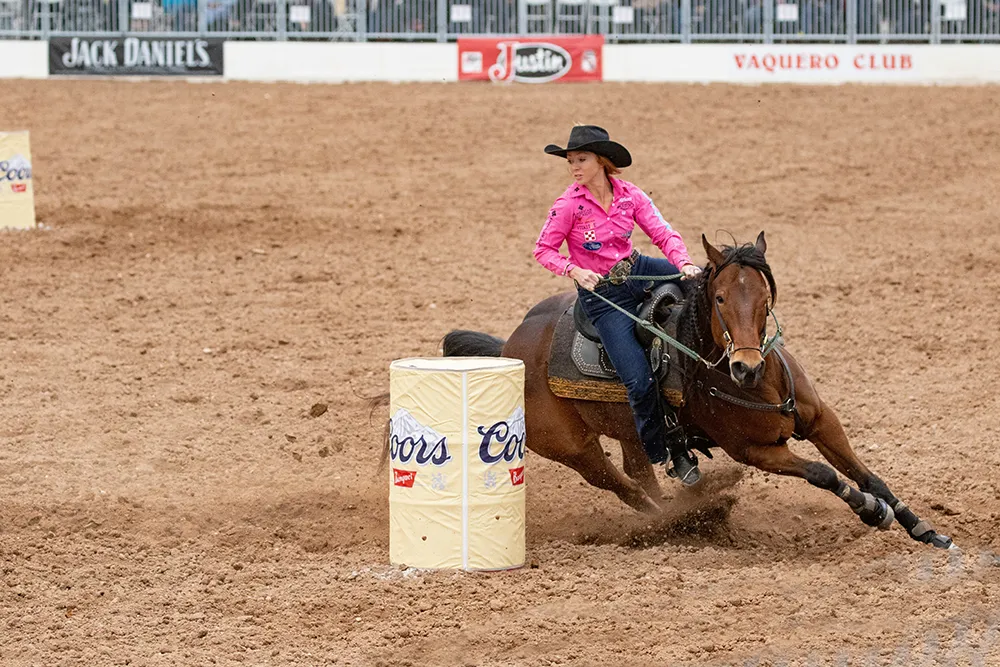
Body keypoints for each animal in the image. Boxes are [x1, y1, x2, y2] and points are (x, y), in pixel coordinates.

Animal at [444, 232, 952, 552]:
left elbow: (869, 475)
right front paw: (871, 512)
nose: (746, 366)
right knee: (625, 487)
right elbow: (826, 475)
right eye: (721, 298)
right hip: (574, 448)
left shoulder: (822, 419)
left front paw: (925, 530)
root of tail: (509, 346)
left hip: (631, 431)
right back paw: (674, 524)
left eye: (764, 297)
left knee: (639, 472)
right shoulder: (755, 451)